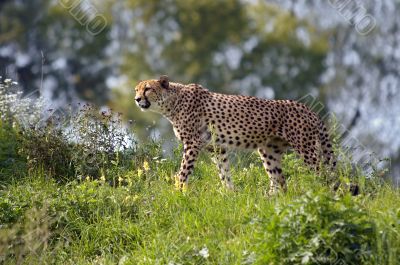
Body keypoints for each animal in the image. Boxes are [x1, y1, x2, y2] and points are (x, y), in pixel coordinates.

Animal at [134, 75, 334, 193]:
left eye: (147, 89)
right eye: (136, 89)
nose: (136, 99)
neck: (171, 102)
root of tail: (308, 108)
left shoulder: (192, 143)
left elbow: (184, 171)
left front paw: (178, 191)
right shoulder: (215, 148)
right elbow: (224, 172)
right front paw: (230, 193)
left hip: (305, 148)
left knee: (324, 174)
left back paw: (324, 194)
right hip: (269, 151)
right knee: (280, 181)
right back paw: (272, 199)